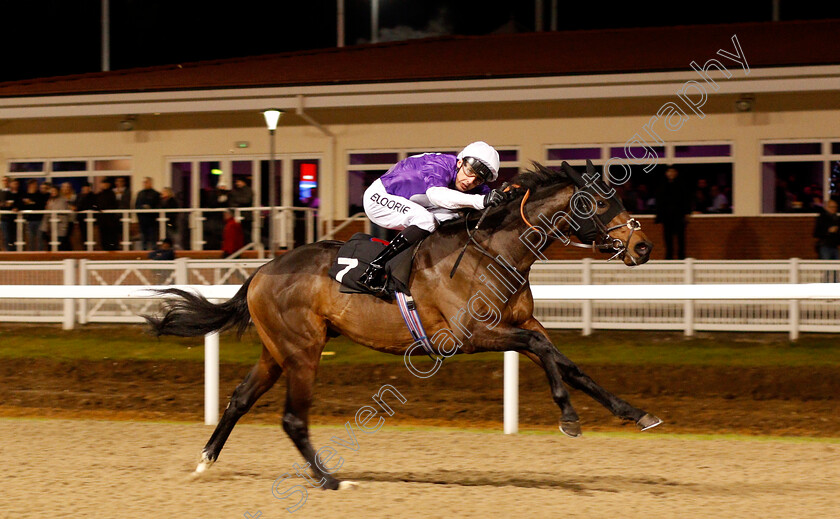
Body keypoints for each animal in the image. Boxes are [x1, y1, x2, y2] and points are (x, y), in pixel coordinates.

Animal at [146, 162, 664, 492]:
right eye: (599, 203)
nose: (641, 247)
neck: (494, 251)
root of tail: (261, 270)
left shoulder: (520, 321)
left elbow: (564, 360)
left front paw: (635, 413)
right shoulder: (467, 336)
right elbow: (541, 348)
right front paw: (569, 416)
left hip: (275, 351)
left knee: (238, 399)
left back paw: (205, 461)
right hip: (302, 351)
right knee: (292, 417)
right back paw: (330, 480)